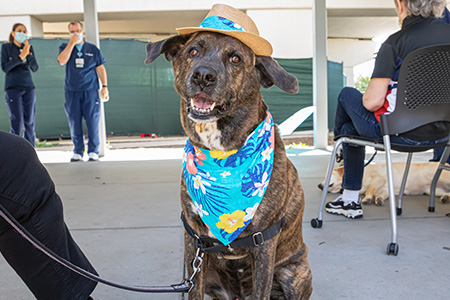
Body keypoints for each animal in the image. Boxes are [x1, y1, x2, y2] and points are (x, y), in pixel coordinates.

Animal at [146, 31, 312, 298]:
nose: (203, 76)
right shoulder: (194, 241)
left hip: (295, 273)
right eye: (193, 51)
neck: (222, 156)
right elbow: (193, 291)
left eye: (235, 58)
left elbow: (262, 290)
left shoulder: (264, 243)